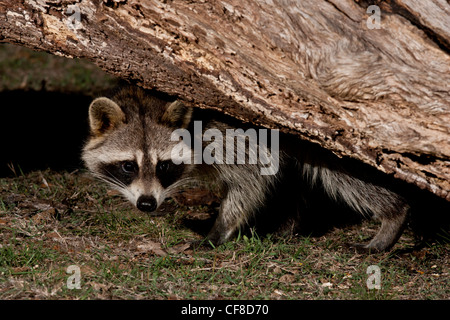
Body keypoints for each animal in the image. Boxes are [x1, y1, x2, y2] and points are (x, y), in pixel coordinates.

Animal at [82, 86, 410, 251]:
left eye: (164, 166)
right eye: (128, 166)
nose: (147, 204)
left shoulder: (230, 134)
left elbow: (250, 180)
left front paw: (218, 230)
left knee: (347, 173)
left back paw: (394, 215)